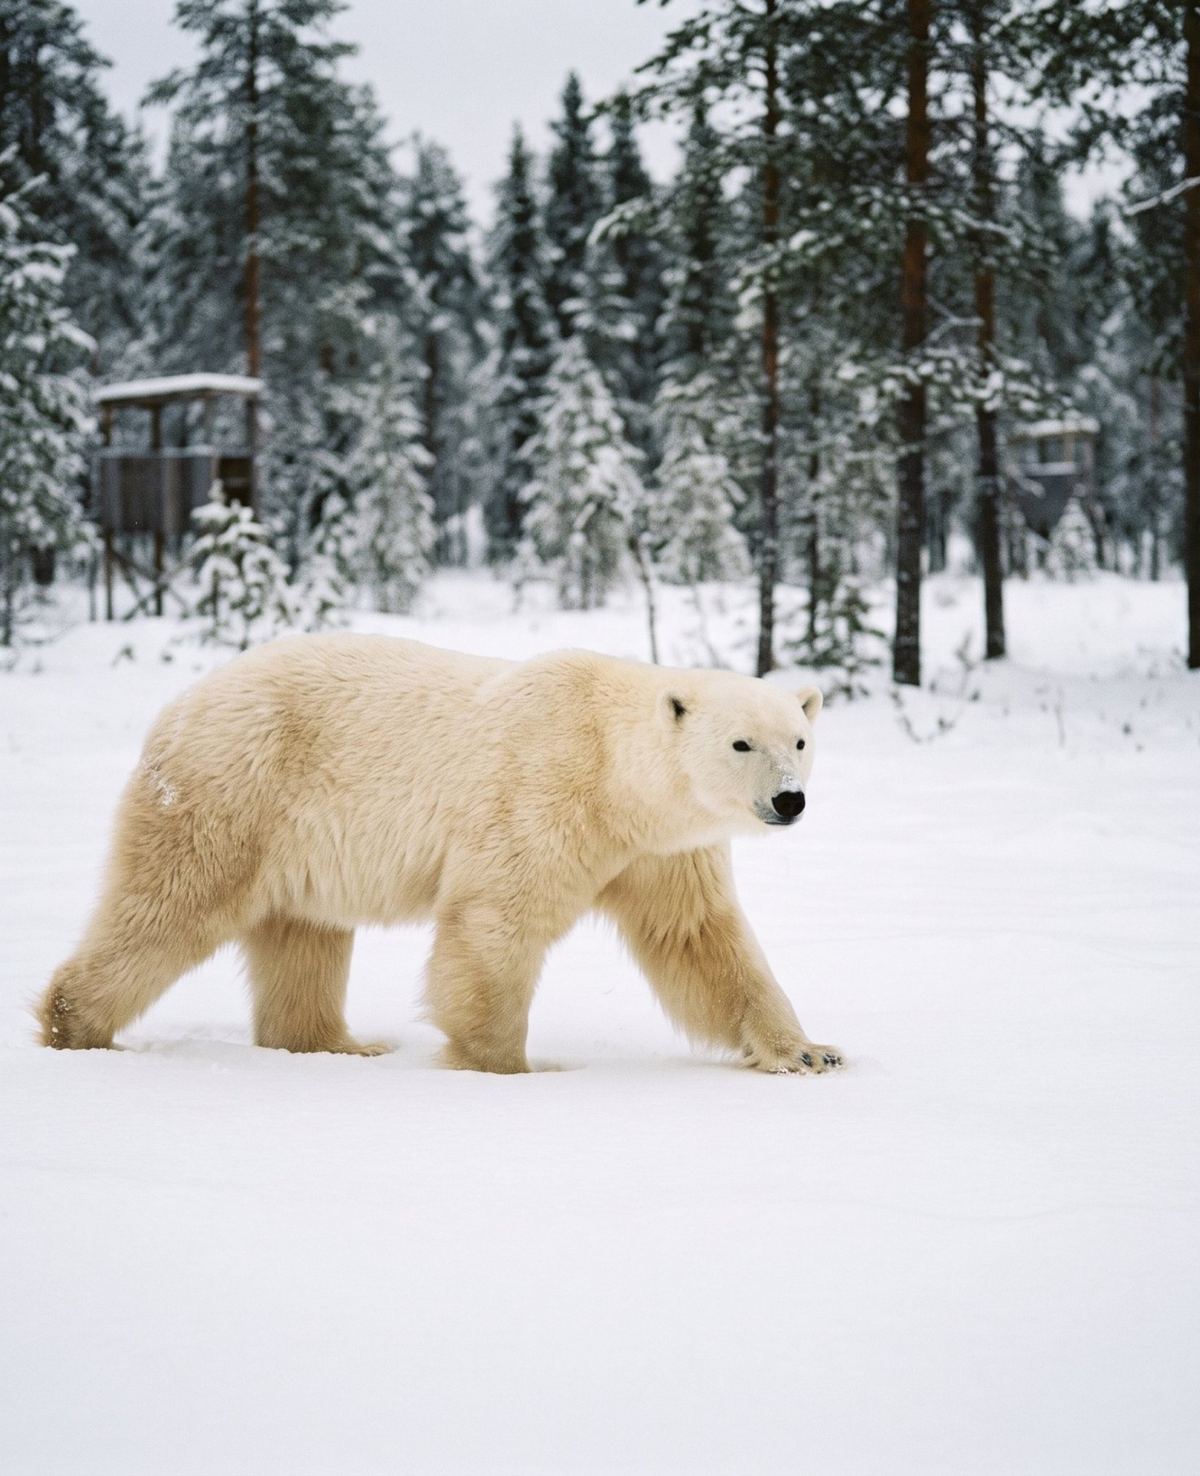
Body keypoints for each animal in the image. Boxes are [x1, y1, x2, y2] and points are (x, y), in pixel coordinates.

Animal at [37, 634, 841, 1075]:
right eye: (741, 743)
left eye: (800, 739)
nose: (790, 800)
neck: (614, 772)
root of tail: (178, 707)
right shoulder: (541, 791)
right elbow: (495, 920)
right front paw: (506, 1064)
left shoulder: (661, 849)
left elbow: (699, 940)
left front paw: (808, 1051)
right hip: (232, 794)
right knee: (167, 906)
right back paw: (76, 1026)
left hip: (291, 836)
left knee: (303, 939)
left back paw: (341, 1046)